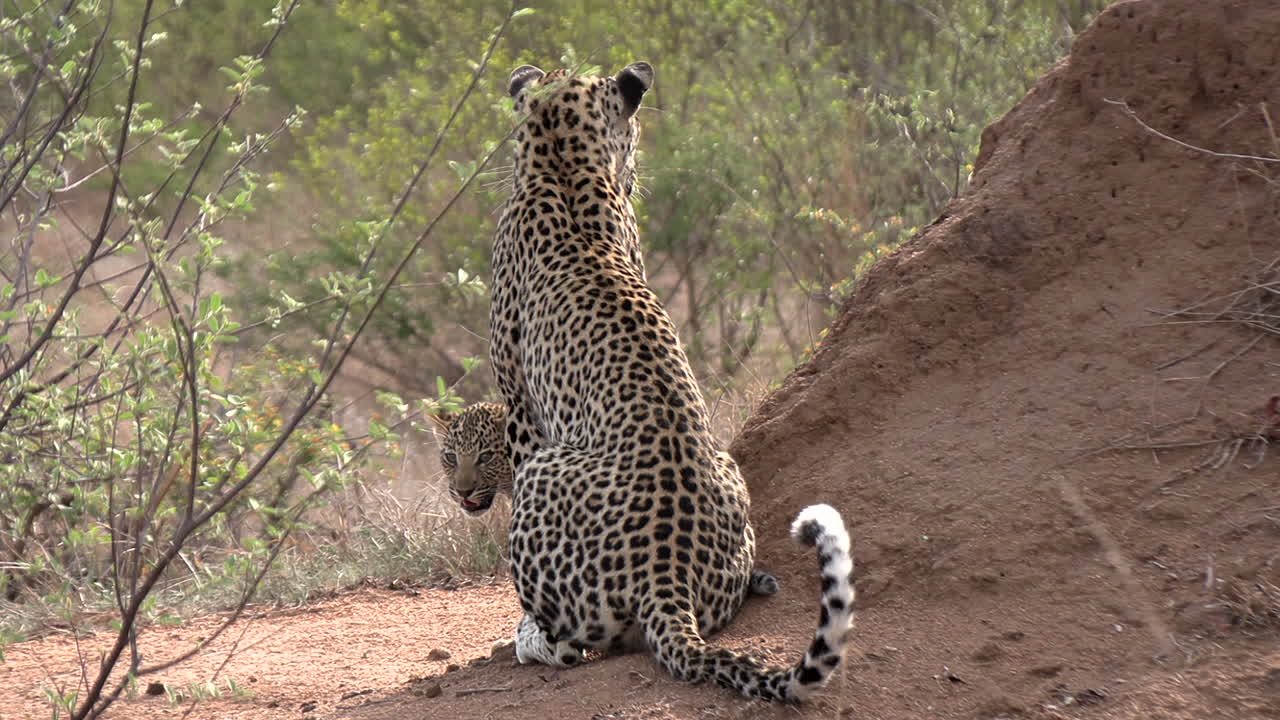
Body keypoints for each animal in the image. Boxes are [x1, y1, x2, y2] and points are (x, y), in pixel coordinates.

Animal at [485, 61, 856, 702]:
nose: (637, 174)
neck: (560, 161)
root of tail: (665, 575)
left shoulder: (518, 403)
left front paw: (522, 625)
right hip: (728, 472)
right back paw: (758, 581)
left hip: (543, 473)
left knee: (570, 646)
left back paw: (529, 638)